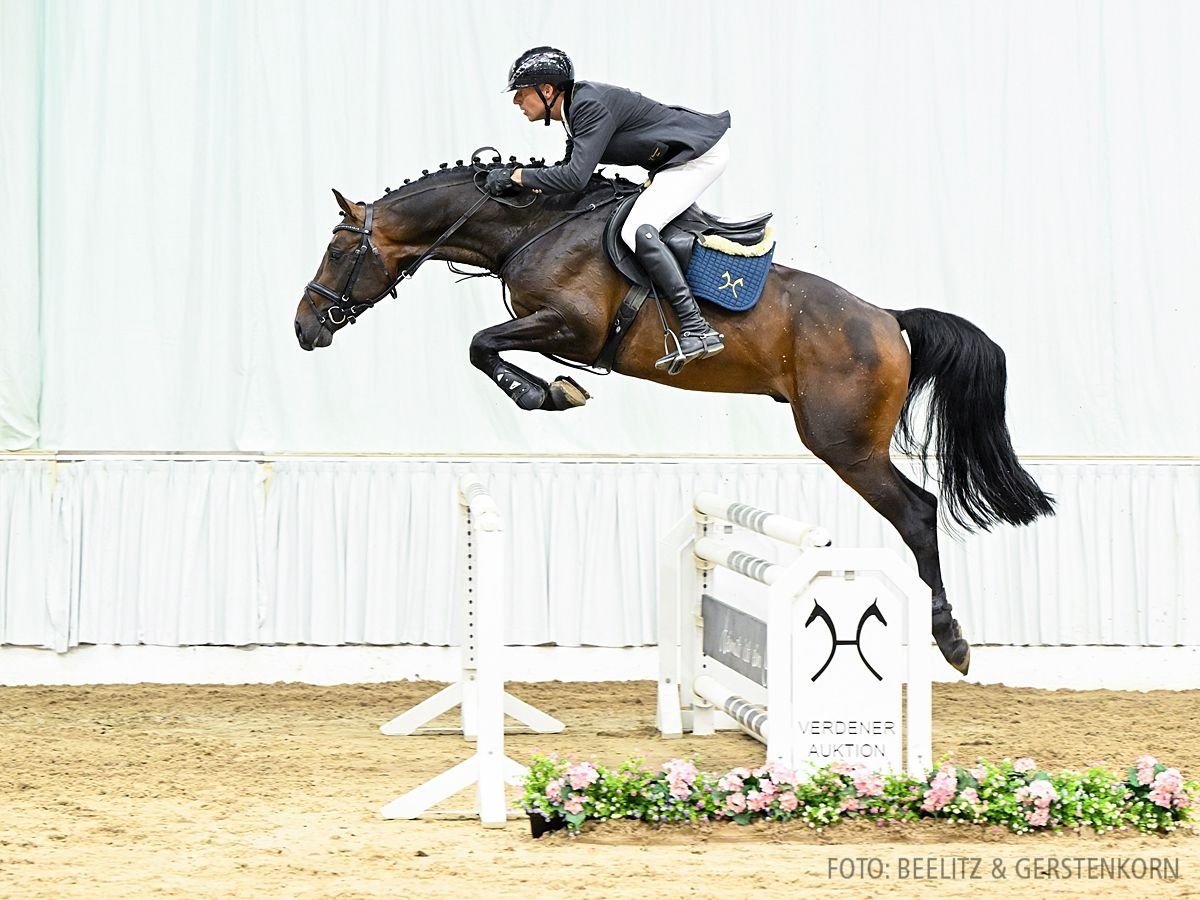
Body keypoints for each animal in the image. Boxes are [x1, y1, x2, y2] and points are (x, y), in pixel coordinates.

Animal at [295, 157, 1056, 676]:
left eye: (336, 249)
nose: (305, 329)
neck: (528, 226)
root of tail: (887, 318)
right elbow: (484, 346)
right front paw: (555, 391)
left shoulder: (571, 327)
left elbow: (482, 344)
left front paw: (551, 393)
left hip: (845, 446)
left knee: (918, 513)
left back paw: (950, 639)